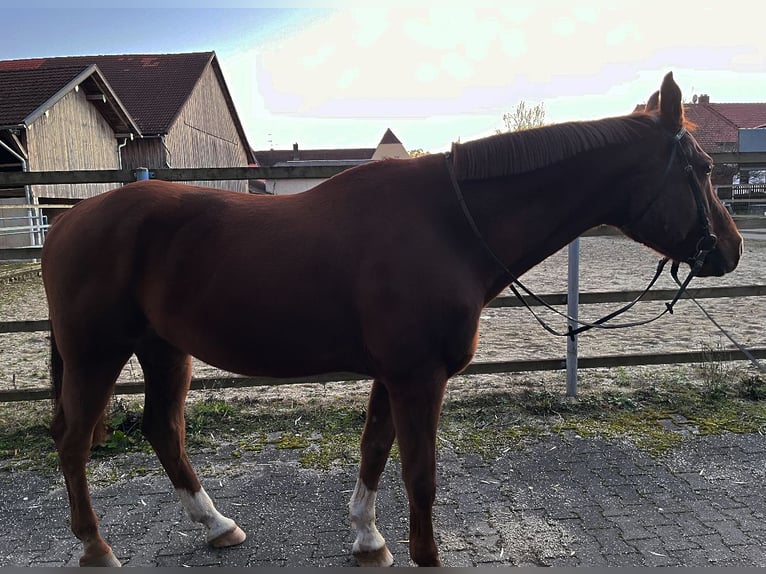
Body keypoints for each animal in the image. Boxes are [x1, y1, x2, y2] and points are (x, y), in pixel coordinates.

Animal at [42, 74, 744, 568]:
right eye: (706, 169)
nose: (732, 250)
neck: (449, 226)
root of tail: (69, 220)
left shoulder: (394, 375)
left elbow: (375, 452)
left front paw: (368, 539)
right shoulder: (417, 378)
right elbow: (419, 476)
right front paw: (421, 556)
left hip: (164, 349)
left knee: (163, 431)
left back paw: (217, 526)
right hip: (96, 353)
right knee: (73, 444)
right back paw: (96, 548)